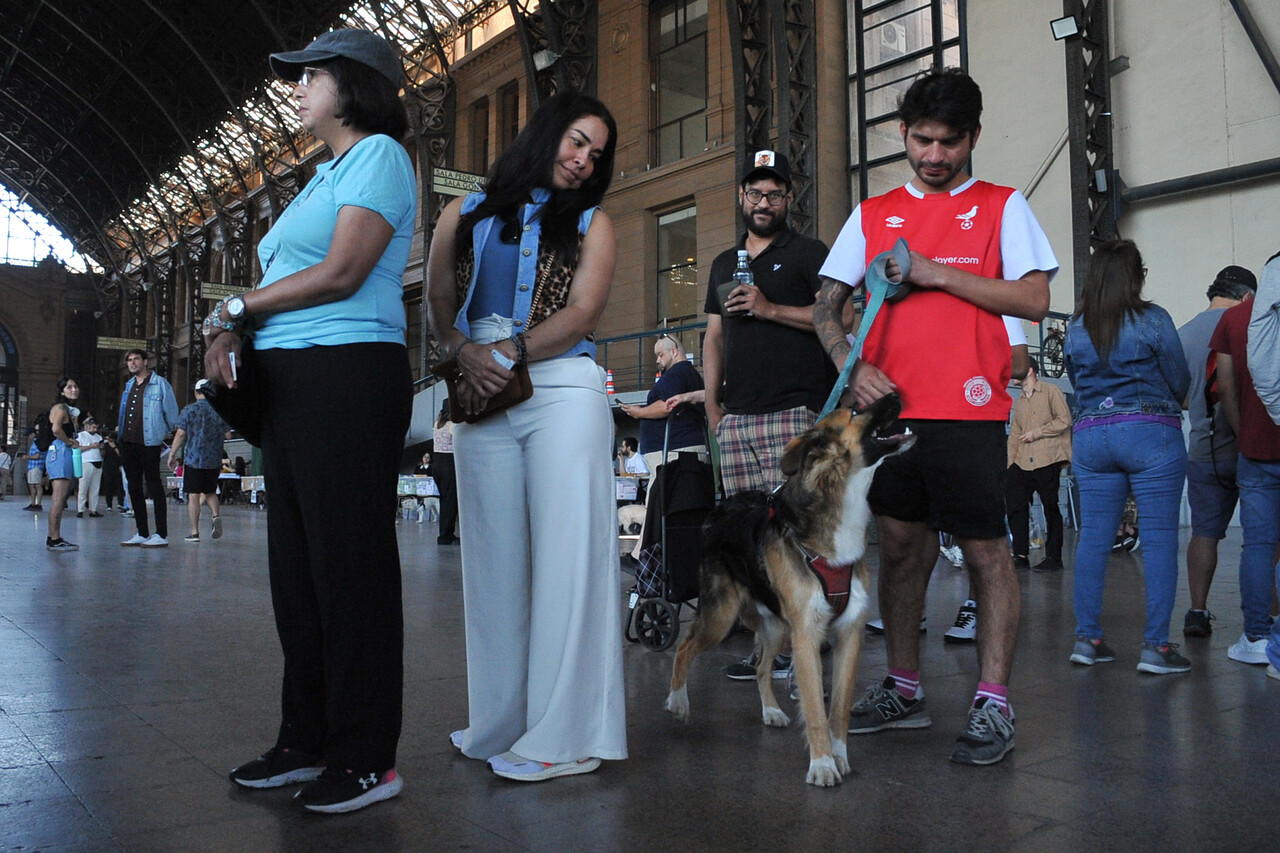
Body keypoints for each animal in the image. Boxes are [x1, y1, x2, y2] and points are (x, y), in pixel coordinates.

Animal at [665, 391, 916, 783]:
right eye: (857, 410)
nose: (895, 393)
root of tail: (720, 514)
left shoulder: (848, 632)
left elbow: (839, 706)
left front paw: (838, 754)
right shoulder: (806, 634)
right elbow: (814, 708)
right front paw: (823, 764)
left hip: (775, 627)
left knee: (761, 667)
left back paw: (771, 711)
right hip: (722, 617)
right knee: (685, 646)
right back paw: (677, 701)